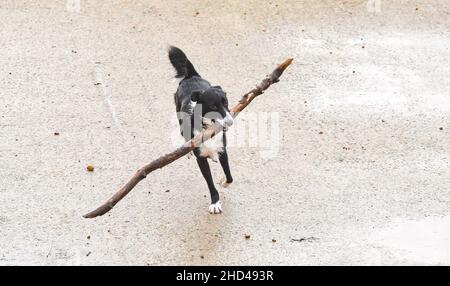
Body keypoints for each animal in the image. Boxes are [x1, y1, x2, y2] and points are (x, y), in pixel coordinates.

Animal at [167, 45, 234, 213]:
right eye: (213, 107)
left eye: (226, 102)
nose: (230, 122)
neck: (208, 128)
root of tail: (191, 76)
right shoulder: (201, 159)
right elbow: (209, 182)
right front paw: (215, 202)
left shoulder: (223, 150)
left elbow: (229, 176)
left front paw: (224, 182)